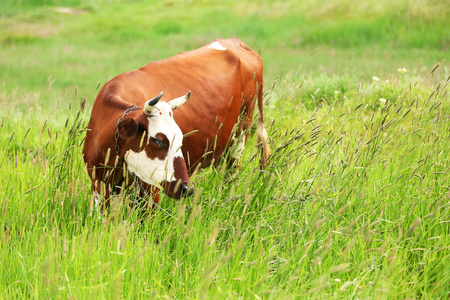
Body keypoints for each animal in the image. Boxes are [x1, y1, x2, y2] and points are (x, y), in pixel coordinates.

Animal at [82, 37, 268, 210]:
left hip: (239, 139)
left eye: (180, 139)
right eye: (158, 141)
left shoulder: (150, 191)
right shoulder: (99, 188)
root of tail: (235, 42)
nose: (186, 188)